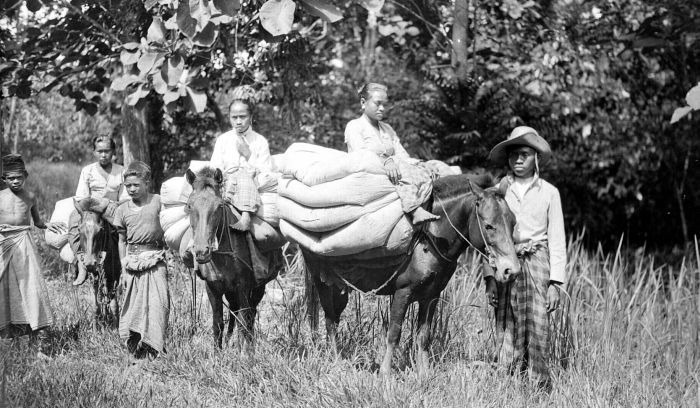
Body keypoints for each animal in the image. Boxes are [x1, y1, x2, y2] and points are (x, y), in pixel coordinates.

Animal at [73, 196, 121, 326]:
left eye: (101, 230)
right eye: (79, 229)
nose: (90, 263)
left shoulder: (113, 277)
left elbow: (114, 305)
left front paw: (117, 328)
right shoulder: (93, 277)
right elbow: (95, 305)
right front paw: (96, 327)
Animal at [183, 167, 276, 350]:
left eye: (219, 205)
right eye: (189, 205)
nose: (202, 252)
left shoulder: (244, 287)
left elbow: (244, 323)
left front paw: (246, 353)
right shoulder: (213, 288)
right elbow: (218, 324)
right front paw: (218, 354)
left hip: (258, 288)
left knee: (249, 317)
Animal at [304, 174, 524, 374]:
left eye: (513, 223)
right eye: (489, 226)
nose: (511, 270)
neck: (430, 238)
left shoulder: (431, 296)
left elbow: (423, 335)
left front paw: (423, 373)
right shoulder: (403, 292)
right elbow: (394, 333)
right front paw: (385, 373)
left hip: (340, 288)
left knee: (334, 318)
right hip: (323, 283)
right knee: (330, 320)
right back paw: (335, 361)